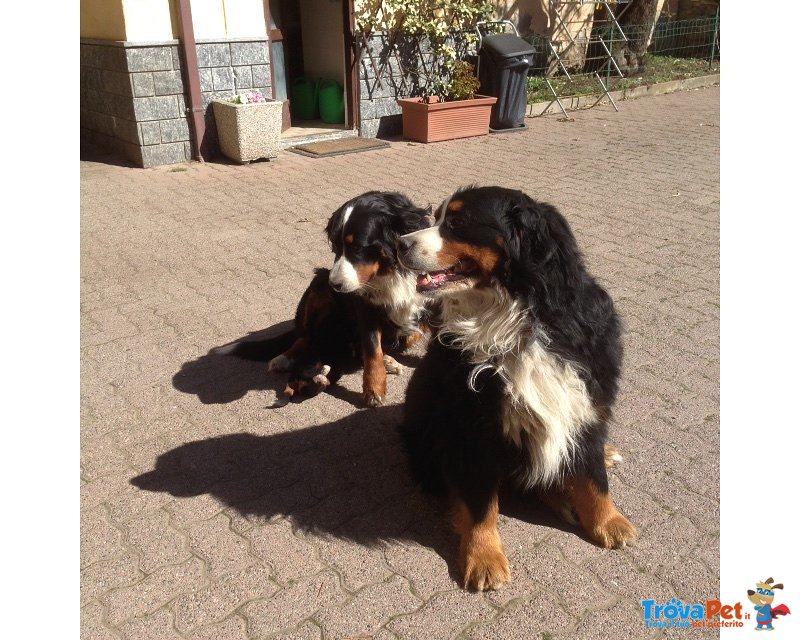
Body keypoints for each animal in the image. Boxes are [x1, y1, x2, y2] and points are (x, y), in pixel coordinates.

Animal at [217, 190, 432, 408]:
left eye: (357, 248)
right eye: (335, 247)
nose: (335, 285)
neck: (390, 270)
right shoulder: (365, 305)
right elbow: (372, 348)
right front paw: (374, 388)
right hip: (318, 285)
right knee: (305, 337)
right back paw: (283, 359)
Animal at [396, 185, 636, 592]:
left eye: (457, 222)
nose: (399, 243)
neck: (515, 320)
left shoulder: (585, 399)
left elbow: (593, 476)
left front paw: (608, 521)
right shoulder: (473, 428)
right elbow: (480, 505)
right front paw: (484, 558)